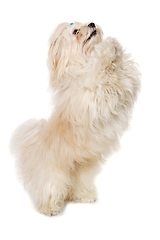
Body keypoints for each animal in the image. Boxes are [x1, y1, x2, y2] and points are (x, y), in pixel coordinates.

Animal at [10, 21, 140, 216]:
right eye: (75, 31)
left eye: (86, 23)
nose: (92, 23)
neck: (84, 60)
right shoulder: (92, 94)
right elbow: (102, 74)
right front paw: (107, 50)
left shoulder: (125, 86)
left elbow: (126, 74)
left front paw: (114, 47)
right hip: (53, 174)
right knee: (48, 189)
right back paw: (50, 208)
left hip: (82, 172)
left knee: (76, 187)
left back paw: (85, 196)